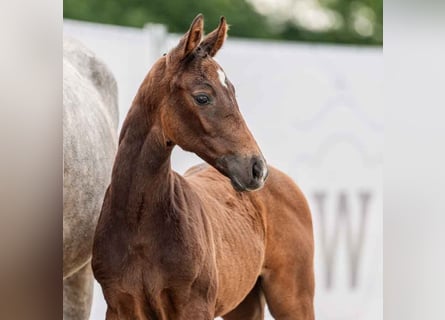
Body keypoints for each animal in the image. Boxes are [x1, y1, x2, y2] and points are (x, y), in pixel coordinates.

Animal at [92, 14, 314, 320]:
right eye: (202, 97)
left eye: (232, 91)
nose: (257, 168)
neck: (139, 222)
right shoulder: (120, 306)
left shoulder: (194, 306)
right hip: (244, 302)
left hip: (293, 295)